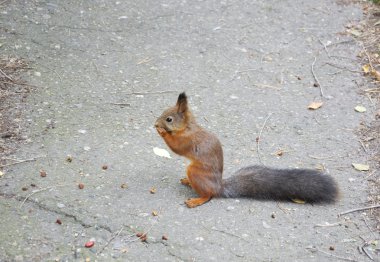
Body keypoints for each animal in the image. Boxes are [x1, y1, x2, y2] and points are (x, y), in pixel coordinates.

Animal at [154, 93, 338, 208]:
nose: (156, 123)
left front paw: (162, 132)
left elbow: (176, 147)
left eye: (169, 119)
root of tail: (219, 187)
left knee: (209, 195)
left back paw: (196, 200)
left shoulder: (188, 140)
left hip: (196, 172)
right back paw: (187, 182)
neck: (187, 128)